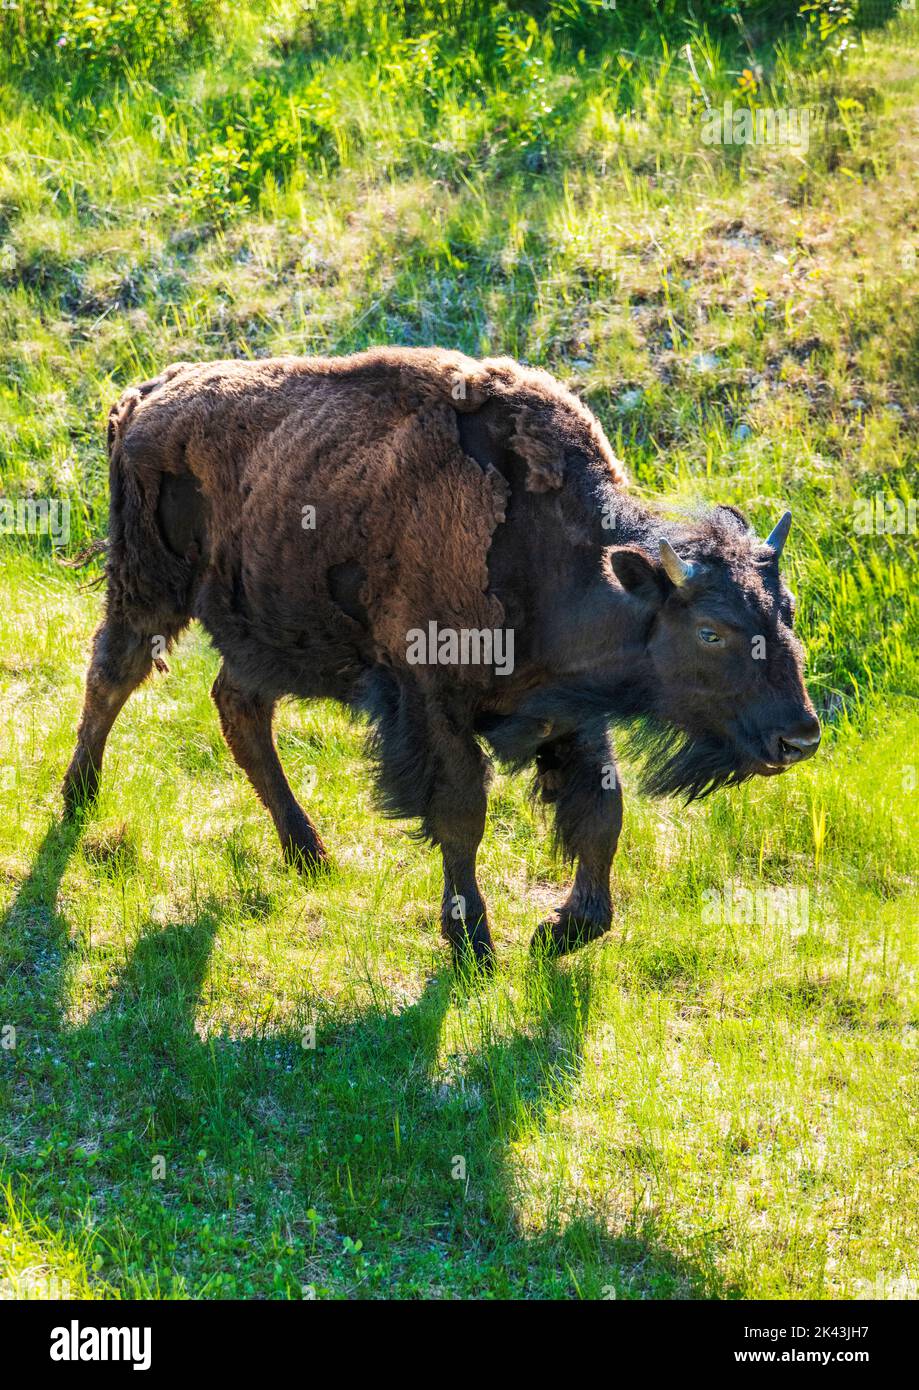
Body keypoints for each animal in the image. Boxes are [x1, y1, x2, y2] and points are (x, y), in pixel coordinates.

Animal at [68, 341, 823, 961]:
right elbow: (462, 815)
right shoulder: (432, 702)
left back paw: (308, 853)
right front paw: (473, 942)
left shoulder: (572, 715)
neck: (556, 556)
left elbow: (601, 817)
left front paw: (564, 931)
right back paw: (78, 797)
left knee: (239, 707)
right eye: (710, 630)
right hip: (149, 587)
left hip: (269, 633)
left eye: (786, 612)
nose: (799, 738)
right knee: (113, 674)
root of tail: (147, 394)